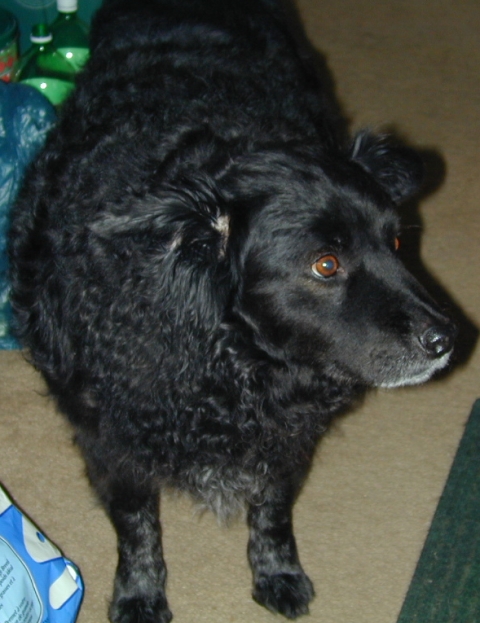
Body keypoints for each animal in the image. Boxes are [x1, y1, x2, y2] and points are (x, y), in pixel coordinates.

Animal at [8, 0, 456, 620]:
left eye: (394, 242)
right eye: (325, 264)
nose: (446, 339)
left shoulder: (286, 434)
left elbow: (271, 509)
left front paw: (277, 572)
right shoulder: (110, 439)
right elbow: (137, 524)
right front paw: (139, 593)